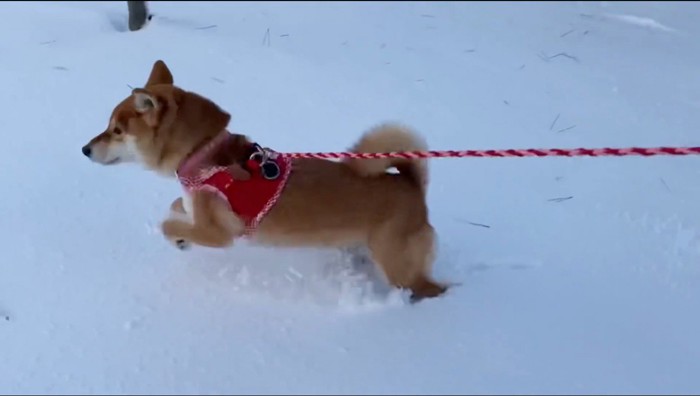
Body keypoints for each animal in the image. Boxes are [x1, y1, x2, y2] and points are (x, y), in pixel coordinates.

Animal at [79, 59, 446, 300]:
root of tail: (412, 187)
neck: (203, 155)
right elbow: (176, 207)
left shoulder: (219, 235)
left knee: (429, 287)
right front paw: (181, 227)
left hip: (397, 264)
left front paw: (178, 236)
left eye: (117, 130)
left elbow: (167, 224)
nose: (84, 149)